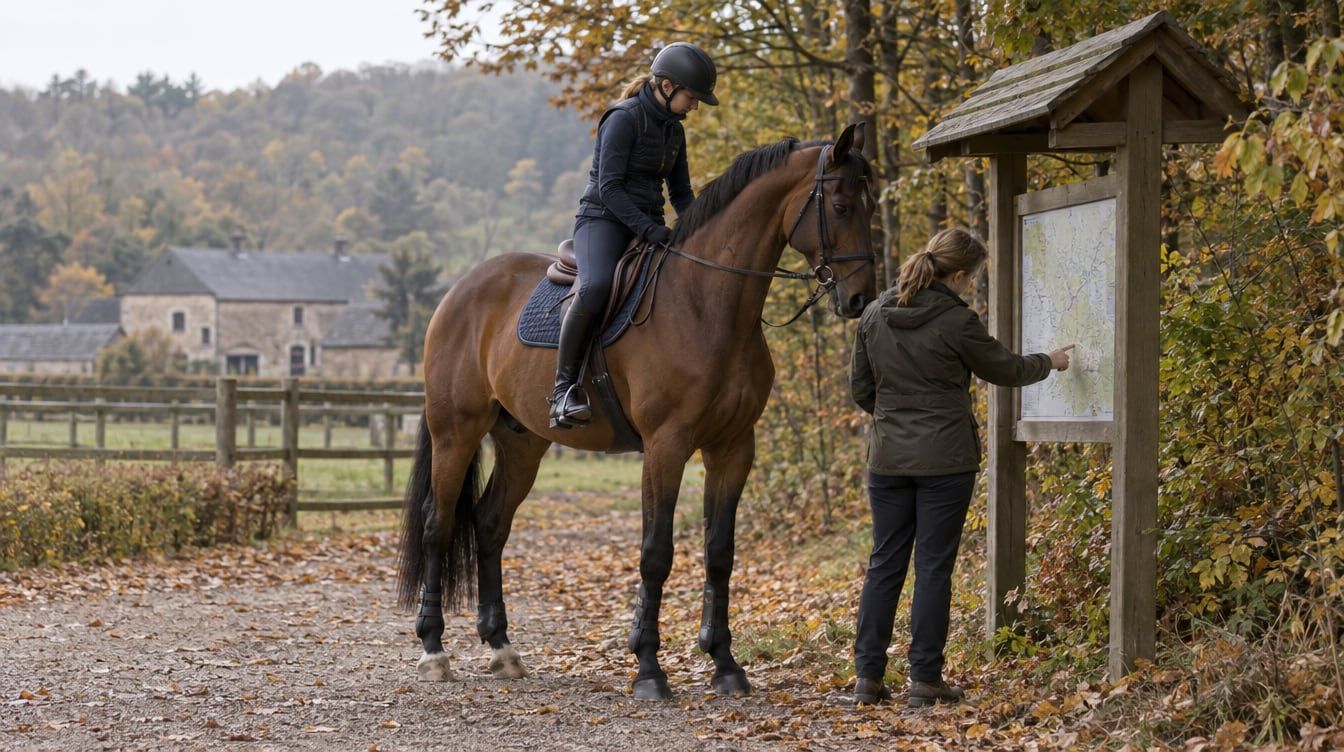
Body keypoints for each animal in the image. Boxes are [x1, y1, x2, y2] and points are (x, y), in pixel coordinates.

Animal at [396, 122, 877, 700]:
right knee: (438, 525)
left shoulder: (733, 447)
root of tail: (459, 290)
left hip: (523, 442)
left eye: (871, 205)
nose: (860, 299)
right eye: (842, 205)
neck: (707, 304)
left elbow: (720, 553)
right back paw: (433, 650)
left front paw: (725, 664)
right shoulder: (666, 446)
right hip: (456, 432)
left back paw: (502, 648)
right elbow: (656, 552)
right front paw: (649, 667)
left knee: (490, 524)